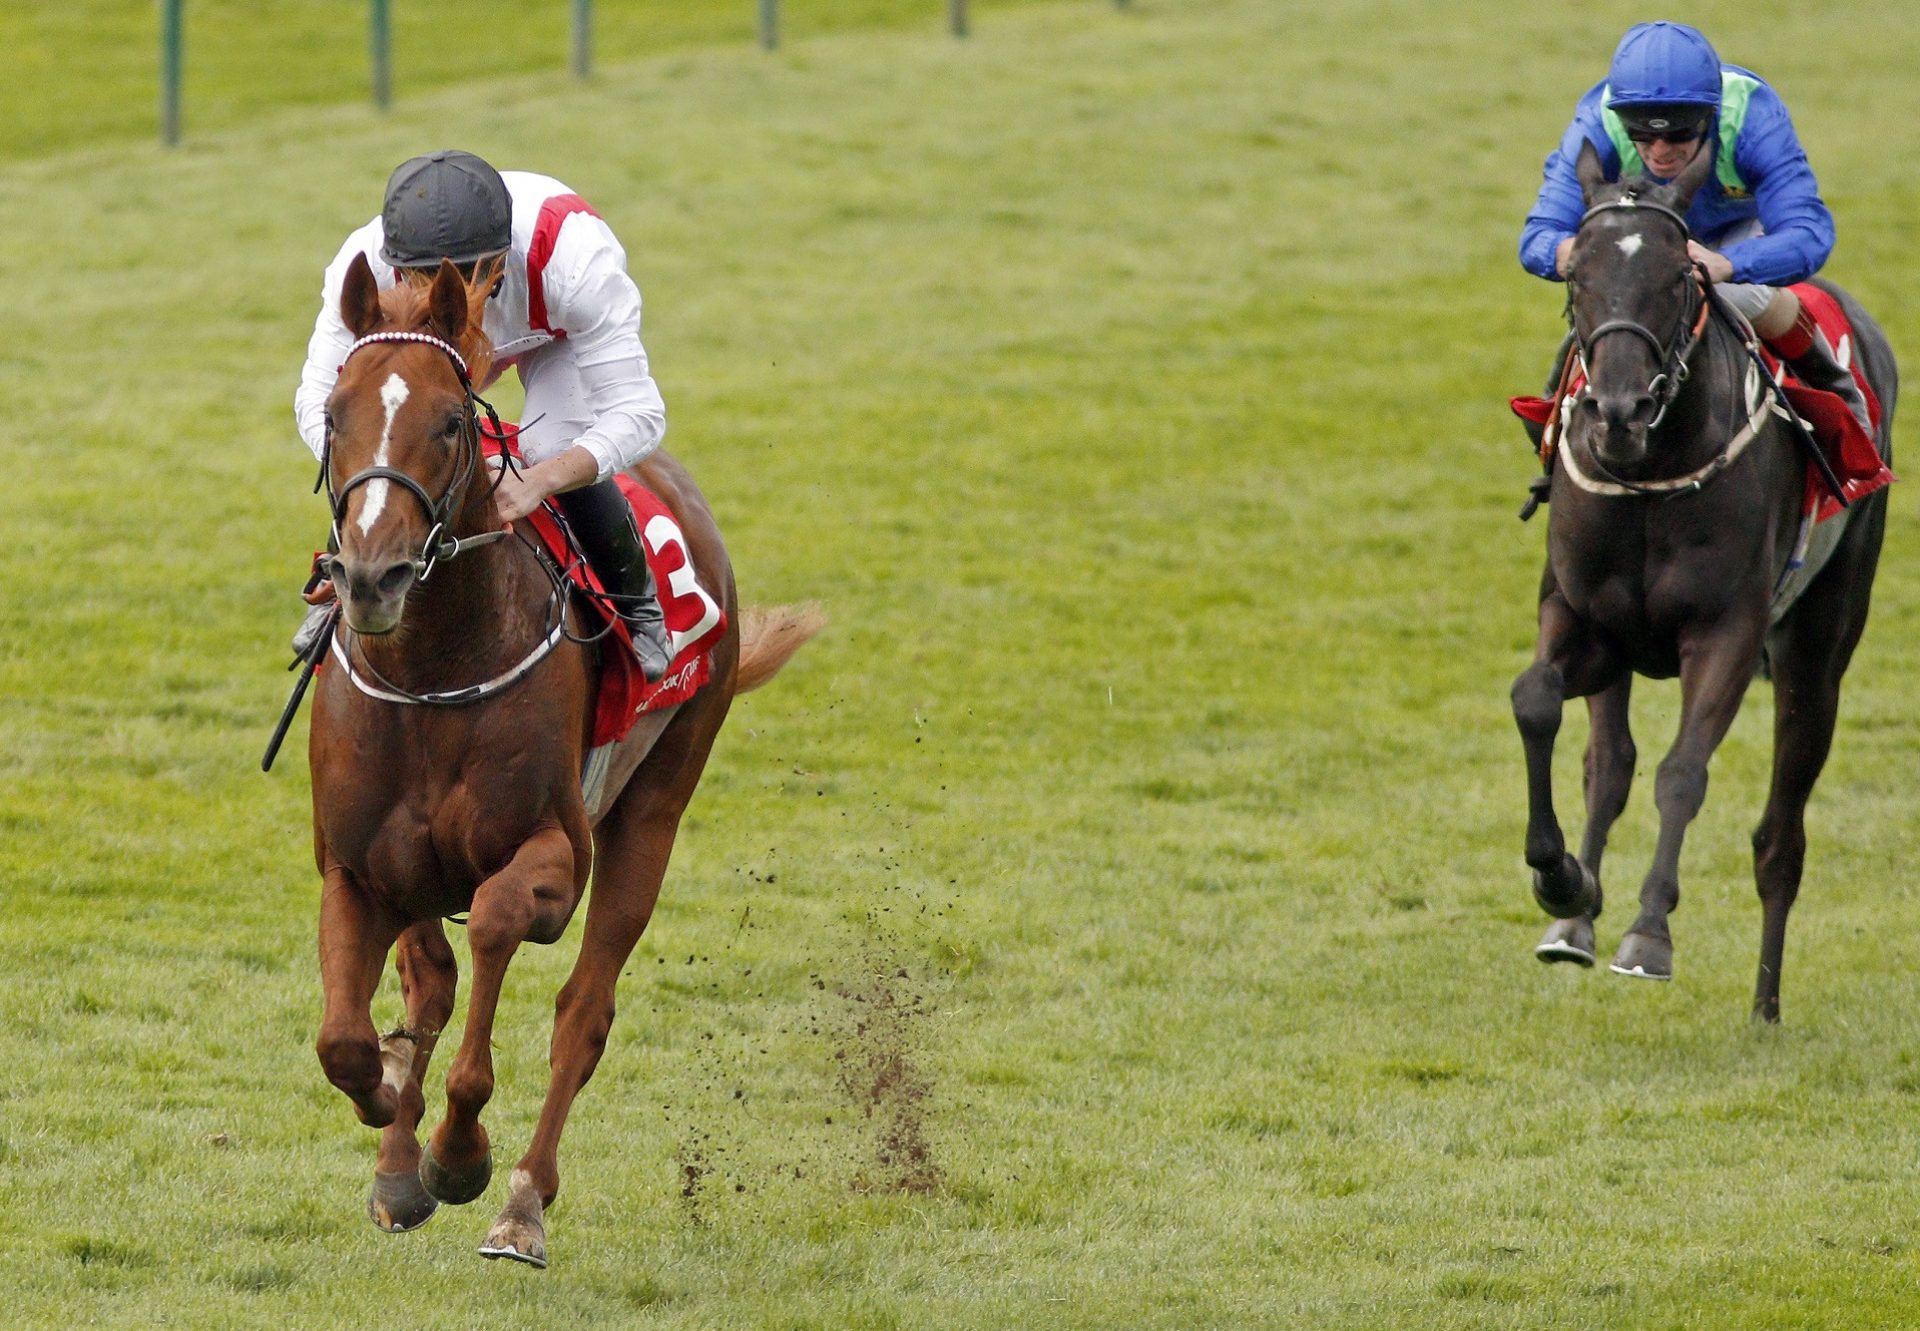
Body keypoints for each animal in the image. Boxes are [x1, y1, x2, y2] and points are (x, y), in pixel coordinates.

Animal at [307, 257, 817, 1267]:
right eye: (336, 414)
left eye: (451, 421)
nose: (372, 577)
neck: (433, 668)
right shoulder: (356, 865)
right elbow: (347, 1038)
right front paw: (391, 1108)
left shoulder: (556, 853)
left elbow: (501, 928)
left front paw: (459, 1153)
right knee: (431, 979)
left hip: (655, 807)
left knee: (584, 1011)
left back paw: (520, 1203)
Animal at [1512, 143, 1889, 1014]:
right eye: (1577, 274)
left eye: (1678, 276)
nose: (1617, 410)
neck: (1653, 470)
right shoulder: (1586, 620)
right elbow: (1539, 701)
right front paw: (1561, 880)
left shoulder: (1726, 632)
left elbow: (1683, 770)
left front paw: (1648, 933)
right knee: (1609, 762)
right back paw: (1574, 921)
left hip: (1819, 649)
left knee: (1781, 840)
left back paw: (1765, 1009)